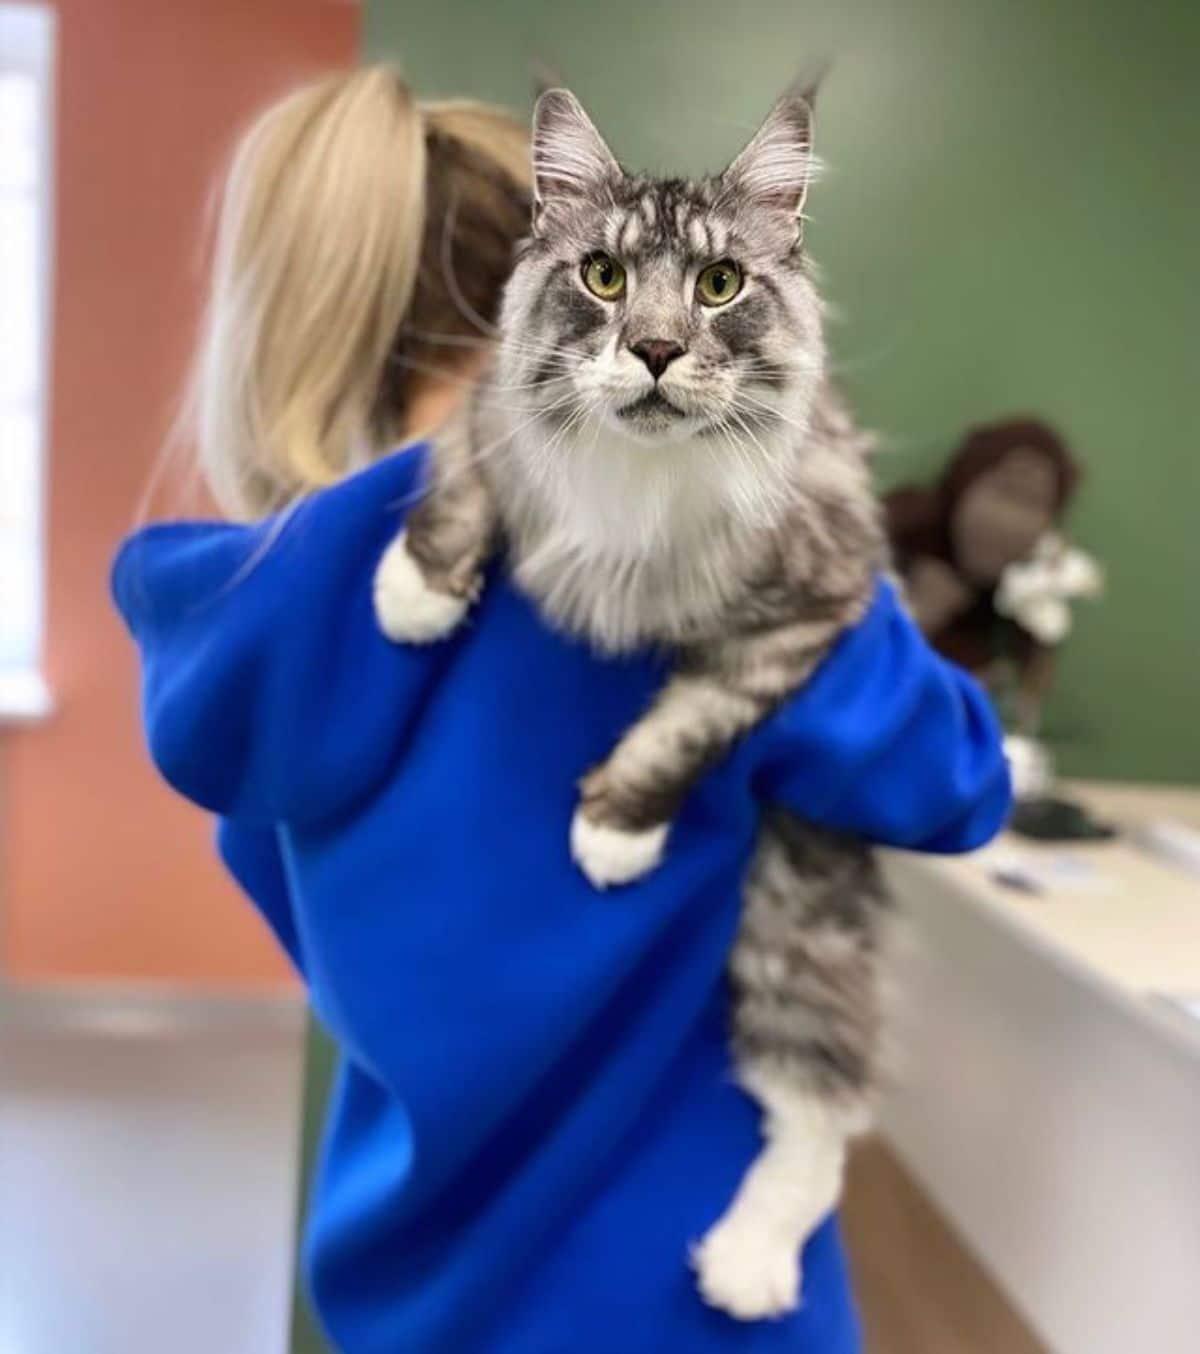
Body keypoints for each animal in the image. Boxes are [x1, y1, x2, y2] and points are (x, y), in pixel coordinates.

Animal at [376, 87, 893, 1321]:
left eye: (720, 285)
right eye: (604, 277)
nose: (655, 350)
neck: (640, 485)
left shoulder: (816, 608)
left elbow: (685, 726)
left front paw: (614, 831)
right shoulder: (492, 416)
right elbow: (457, 475)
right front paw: (413, 592)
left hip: (798, 910)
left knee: (819, 1118)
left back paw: (746, 1268)